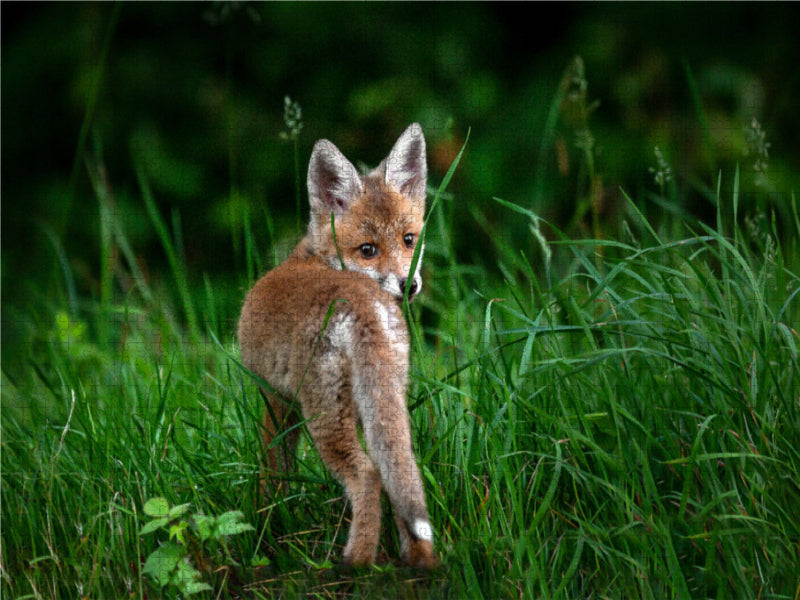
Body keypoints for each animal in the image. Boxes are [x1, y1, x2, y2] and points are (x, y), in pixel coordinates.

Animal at [237, 123, 438, 569]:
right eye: (368, 249)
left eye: (408, 240)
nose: (409, 285)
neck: (314, 256)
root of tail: (362, 303)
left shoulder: (276, 399)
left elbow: (273, 471)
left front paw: (266, 524)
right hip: (382, 403)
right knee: (401, 473)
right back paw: (420, 561)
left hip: (324, 415)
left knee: (367, 476)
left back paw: (356, 563)